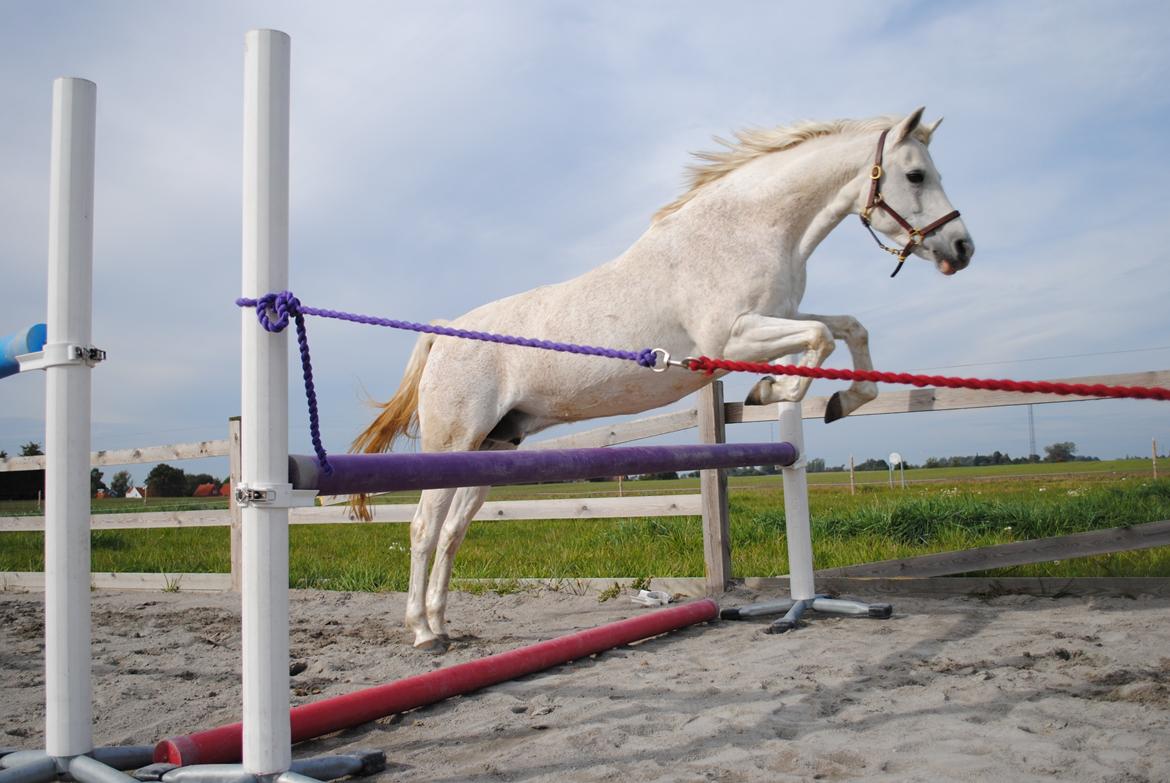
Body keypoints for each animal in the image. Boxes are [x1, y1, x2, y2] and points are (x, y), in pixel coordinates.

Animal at [352, 107, 975, 650]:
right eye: (916, 174)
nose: (962, 248)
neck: (746, 229)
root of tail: (442, 333)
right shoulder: (734, 339)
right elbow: (820, 340)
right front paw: (778, 392)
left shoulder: (777, 319)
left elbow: (847, 328)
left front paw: (838, 398)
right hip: (452, 439)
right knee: (423, 528)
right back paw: (423, 633)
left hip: (493, 446)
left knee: (452, 532)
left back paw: (443, 624)